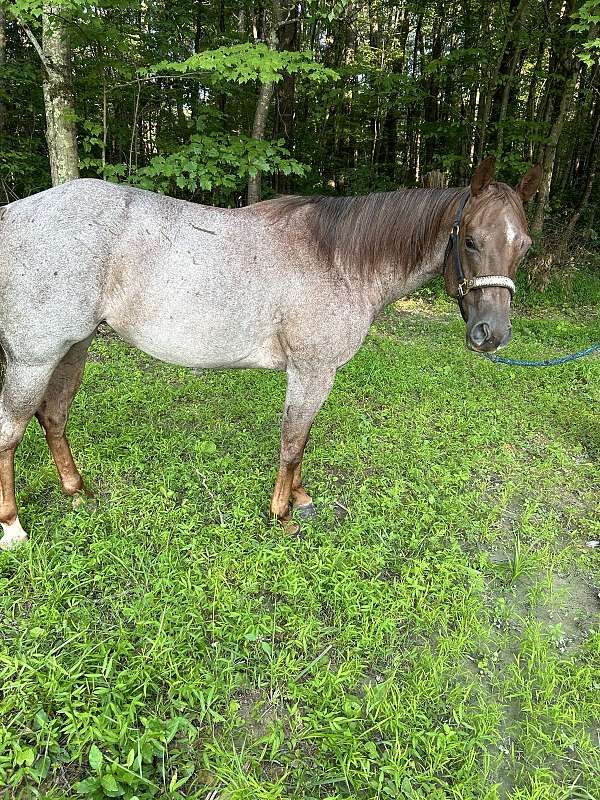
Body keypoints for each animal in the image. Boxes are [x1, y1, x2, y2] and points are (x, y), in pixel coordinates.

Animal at [0, 155, 540, 552]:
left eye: (525, 246)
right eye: (470, 241)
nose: (492, 334)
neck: (339, 260)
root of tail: (13, 216)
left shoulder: (315, 374)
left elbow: (302, 439)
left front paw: (298, 497)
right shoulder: (312, 371)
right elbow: (293, 441)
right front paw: (282, 514)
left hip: (74, 347)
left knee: (54, 417)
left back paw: (78, 492)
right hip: (34, 359)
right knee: (12, 432)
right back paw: (12, 527)